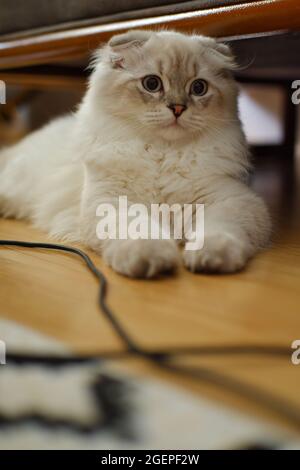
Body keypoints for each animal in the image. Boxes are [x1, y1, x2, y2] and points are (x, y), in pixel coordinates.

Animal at [0, 29, 270, 278]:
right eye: (152, 84)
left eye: (198, 88)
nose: (178, 108)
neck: (163, 154)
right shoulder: (113, 201)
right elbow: (139, 231)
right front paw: (150, 259)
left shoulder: (230, 200)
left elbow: (217, 232)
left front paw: (209, 258)